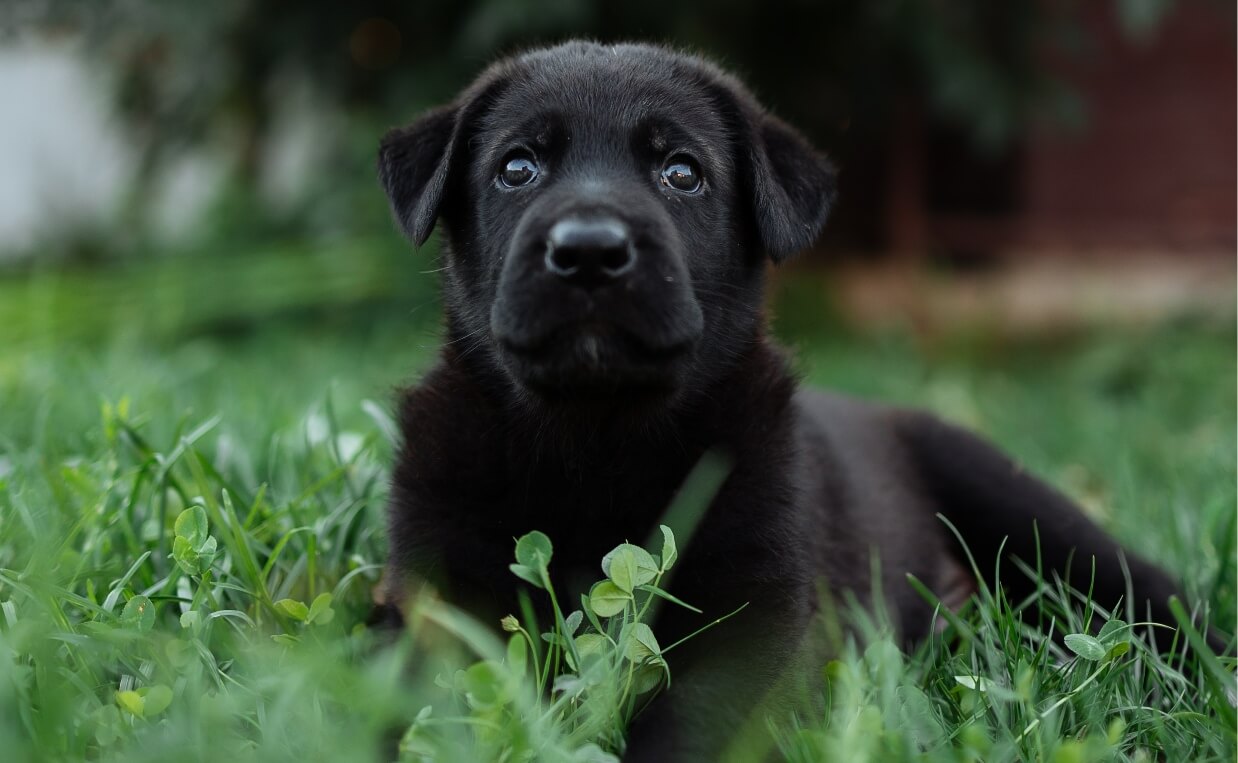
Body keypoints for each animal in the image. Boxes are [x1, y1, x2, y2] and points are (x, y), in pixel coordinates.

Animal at [373, 43, 1198, 763]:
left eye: (681, 172)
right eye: (517, 167)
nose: (589, 250)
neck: (594, 436)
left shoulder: (758, 617)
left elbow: (692, 720)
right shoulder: (432, 591)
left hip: (1029, 510)